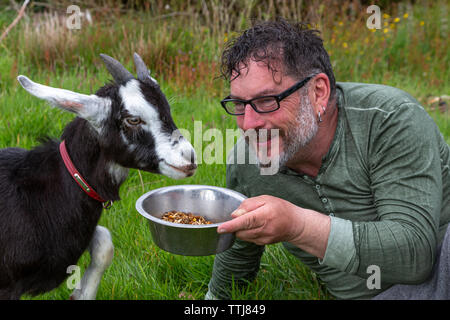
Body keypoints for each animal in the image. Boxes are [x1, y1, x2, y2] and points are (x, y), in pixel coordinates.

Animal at [0, 52, 197, 300]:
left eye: (167, 109)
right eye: (133, 119)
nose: (189, 157)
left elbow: (104, 243)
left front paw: (79, 293)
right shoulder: (7, 285)